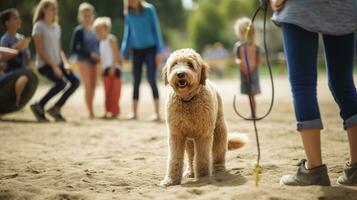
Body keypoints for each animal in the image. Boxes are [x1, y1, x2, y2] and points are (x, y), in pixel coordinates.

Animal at [160, 48, 246, 186]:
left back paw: (219, 169)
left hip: (219, 132)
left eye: (190, 64)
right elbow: (175, 158)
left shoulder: (203, 134)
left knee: (218, 153)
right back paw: (190, 171)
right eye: (174, 64)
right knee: (191, 157)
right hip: (189, 141)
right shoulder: (176, 134)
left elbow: (202, 157)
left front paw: (203, 177)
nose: (180, 74)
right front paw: (171, 180)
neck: (188, 101)